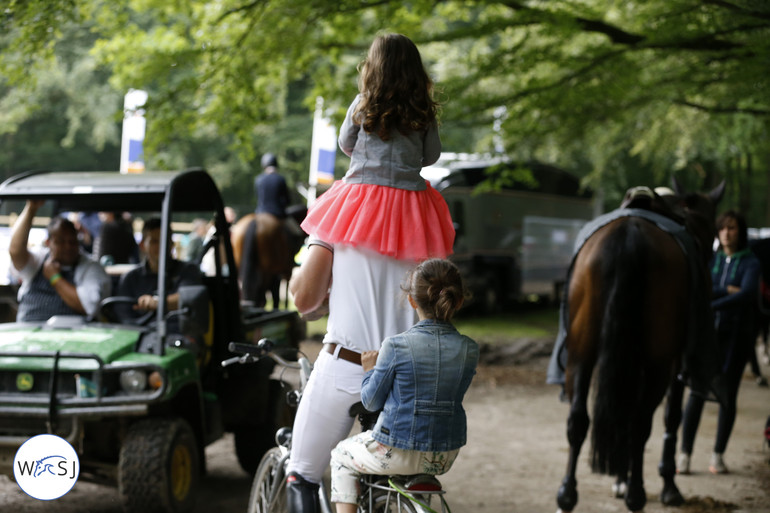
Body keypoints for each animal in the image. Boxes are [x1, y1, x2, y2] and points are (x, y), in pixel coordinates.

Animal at [556, 181, 724, 512]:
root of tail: (630, 236)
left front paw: (620, 478)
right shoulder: (674, 363)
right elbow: (672, 417)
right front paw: (667, 484)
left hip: (581, 351)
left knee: (579, 419)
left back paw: (567, 496)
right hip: (658, 363)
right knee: (639, 423)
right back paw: (636, 494)